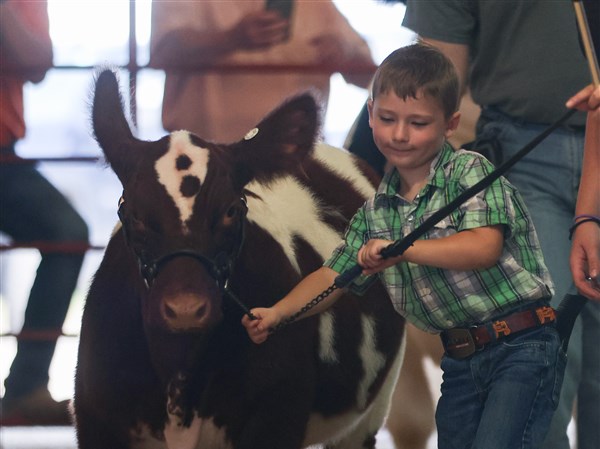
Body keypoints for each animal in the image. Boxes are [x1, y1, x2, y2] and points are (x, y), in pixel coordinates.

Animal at [72, 70, 406, 448]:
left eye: (230, 210)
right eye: (135, 214)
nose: (185, 309)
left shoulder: (275, 419)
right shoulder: (98, 421)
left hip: (369, 415)